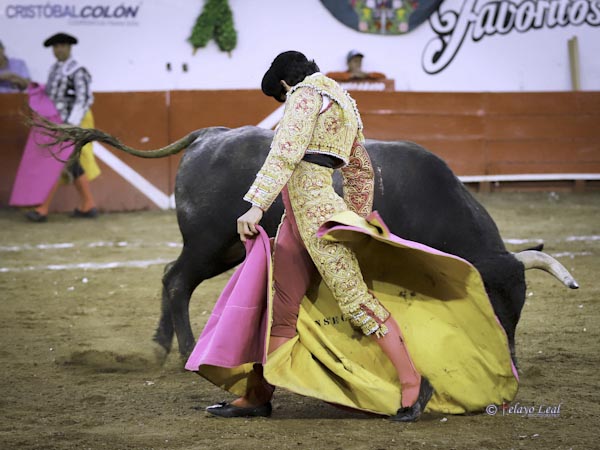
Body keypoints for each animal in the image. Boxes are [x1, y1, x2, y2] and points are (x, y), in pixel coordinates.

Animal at [33, 120, 578, 366]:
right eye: (490, 303)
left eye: (520, 305)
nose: (510, 361)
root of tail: (210, 136)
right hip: (208, 243)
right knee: (178, 282)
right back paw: (186, 351)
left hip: (224, 249)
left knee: (171, 276)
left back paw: (160, 346)